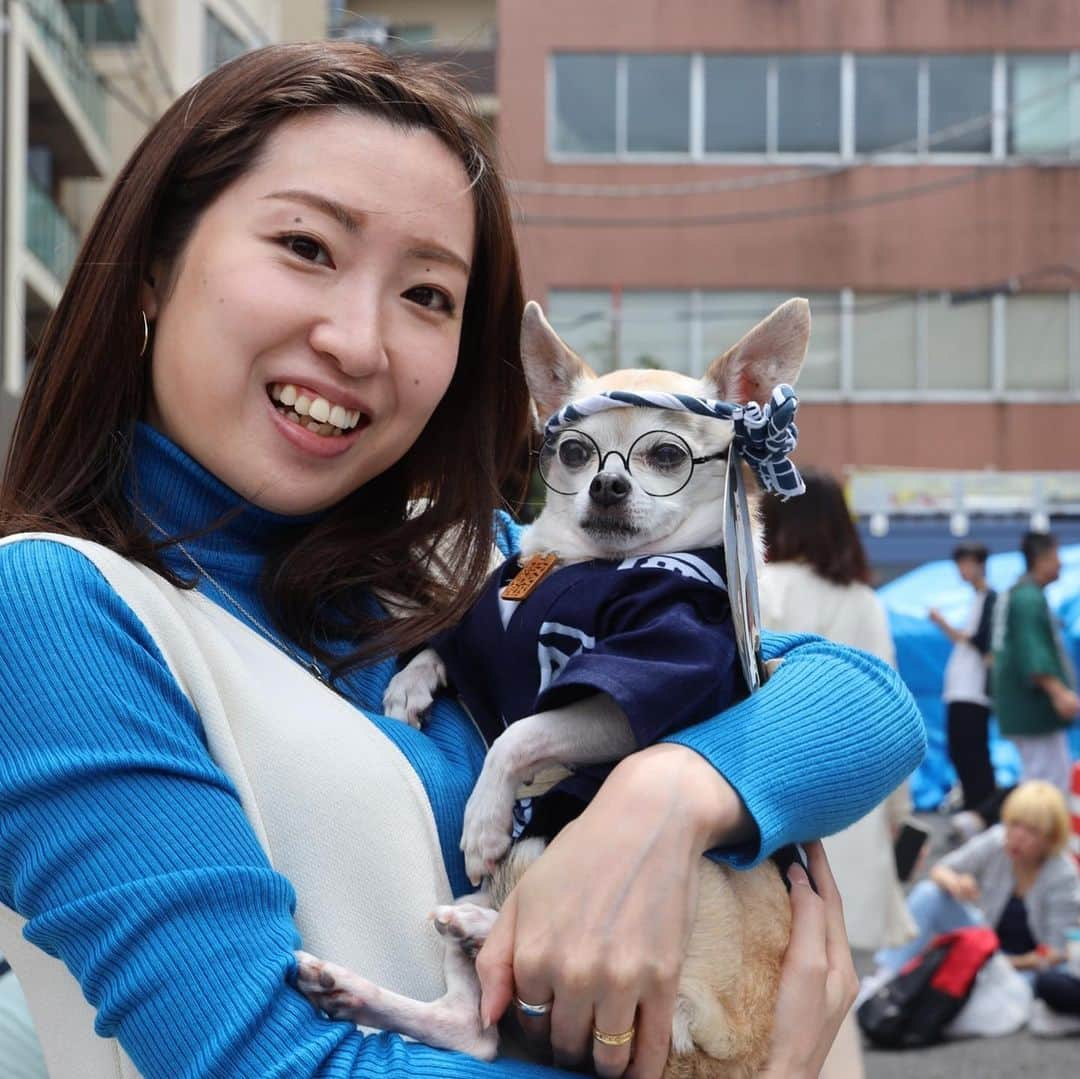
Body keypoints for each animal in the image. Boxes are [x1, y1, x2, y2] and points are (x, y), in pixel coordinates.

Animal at [295, 298, 812, 1079]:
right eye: (573, 452)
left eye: (665, 456)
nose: (607, 483)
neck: (577, 565)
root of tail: (727, 1053)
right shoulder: (483, 630)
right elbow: (446, 648)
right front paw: (411, 685)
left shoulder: (633, 684)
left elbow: (521, 730)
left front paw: (482, 819)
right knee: (473, 1026)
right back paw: (374, 979)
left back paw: (476, 924)